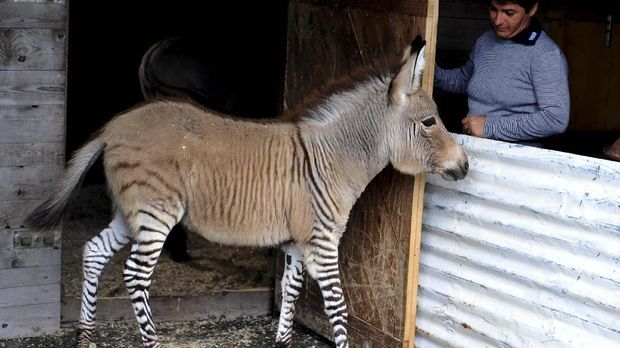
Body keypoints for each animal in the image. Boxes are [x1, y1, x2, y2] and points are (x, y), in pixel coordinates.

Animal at [26, 36, 468, 346]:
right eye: (430, 121)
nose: (465, 165)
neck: (333, 158)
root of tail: (113, 127)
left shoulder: (295, 242)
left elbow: (290, 293)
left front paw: (283, 341)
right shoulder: (323, 242)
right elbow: (338, 308)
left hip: (130, 212)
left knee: (94, 252)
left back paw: (85, 337)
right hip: (156, 212)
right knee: (135, 275)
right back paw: (150, 342)